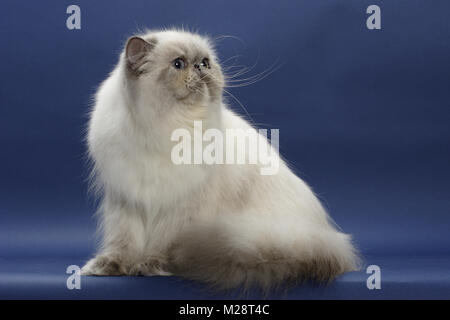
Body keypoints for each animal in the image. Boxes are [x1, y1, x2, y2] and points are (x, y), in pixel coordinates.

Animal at [81, 28, 360, 292]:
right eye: (178, 64)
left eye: (205, 62)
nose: (200, 67)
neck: (167, 128)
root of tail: (325, 234)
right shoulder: (125, 199)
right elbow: (123, 242)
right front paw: (109, 266)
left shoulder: (180, 206)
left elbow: (162, 242)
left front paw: (151, 265)